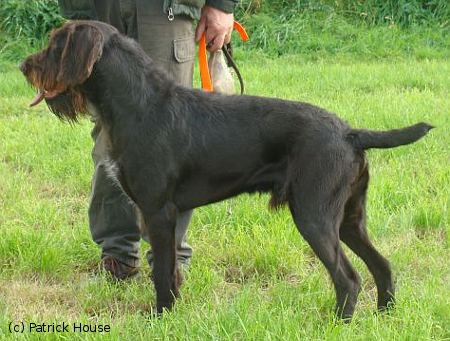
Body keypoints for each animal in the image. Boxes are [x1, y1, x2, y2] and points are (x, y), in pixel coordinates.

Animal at [21, 21, 432, 318]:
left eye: (56, 44)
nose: (24, 66)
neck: (136, 104)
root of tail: (350, 133)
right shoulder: (162, 213)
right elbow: (169, 268)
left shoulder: (158, 211)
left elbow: (161, 270)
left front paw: (161, 316)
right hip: (349, 218)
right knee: (382, 265)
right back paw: (384, 314)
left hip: (314, 216)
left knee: (348, 278)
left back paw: (339, 323)